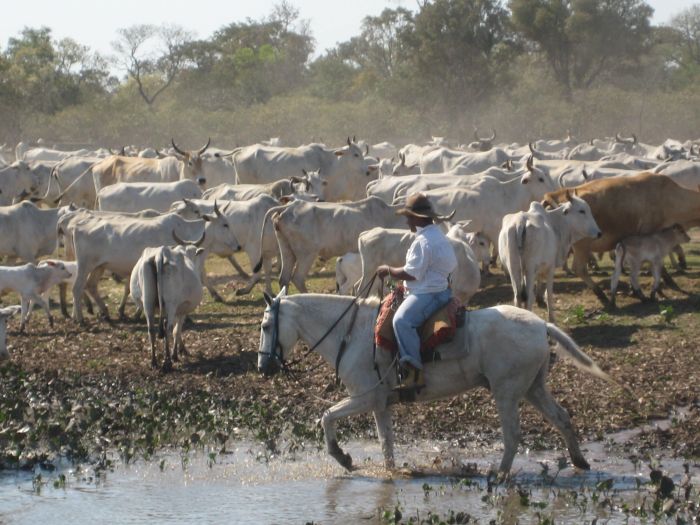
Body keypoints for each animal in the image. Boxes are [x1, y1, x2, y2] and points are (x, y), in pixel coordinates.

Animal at [67, 204, 241, 320]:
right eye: (225, 224)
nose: (238, 246)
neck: (186, 230)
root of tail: (77, 226)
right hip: (85, 265)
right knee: (77, 288)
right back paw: (80, 319)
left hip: (99, 266)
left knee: (91, 286)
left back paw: (103, 312)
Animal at [256, 286, 612, 474]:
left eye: (265, 326)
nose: (263, 367)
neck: (352, 334)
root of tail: (541, 326)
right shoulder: (380, 403)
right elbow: (386, 442)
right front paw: (390, 473)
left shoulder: (364, 397)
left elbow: (327, 416)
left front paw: (342, 457)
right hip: (533, 388)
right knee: (561, 418)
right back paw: (580, 462)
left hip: (507, 393)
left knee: (512, 435)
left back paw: (498, 476)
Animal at [258, 196, 404, 292]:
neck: (391, 216)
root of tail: (288, 207)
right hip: (307, 254)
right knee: (297, 278)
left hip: (287, 251)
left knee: (284, 279)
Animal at [498, 194, 600, 322]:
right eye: (582, 211)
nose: (599, 233)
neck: (555, 223)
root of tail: (520, 222)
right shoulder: (550, 267)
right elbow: (549, 294)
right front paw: (552, 319)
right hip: (530, 268)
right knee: (529, 297)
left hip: (514, 268)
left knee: (518, 296)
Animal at [544, 172, 700, 302]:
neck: (669, 196)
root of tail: (555, 197)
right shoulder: (650, 237)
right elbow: (656, 265)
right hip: (582, 245)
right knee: (579, 268)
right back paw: (600, 293)